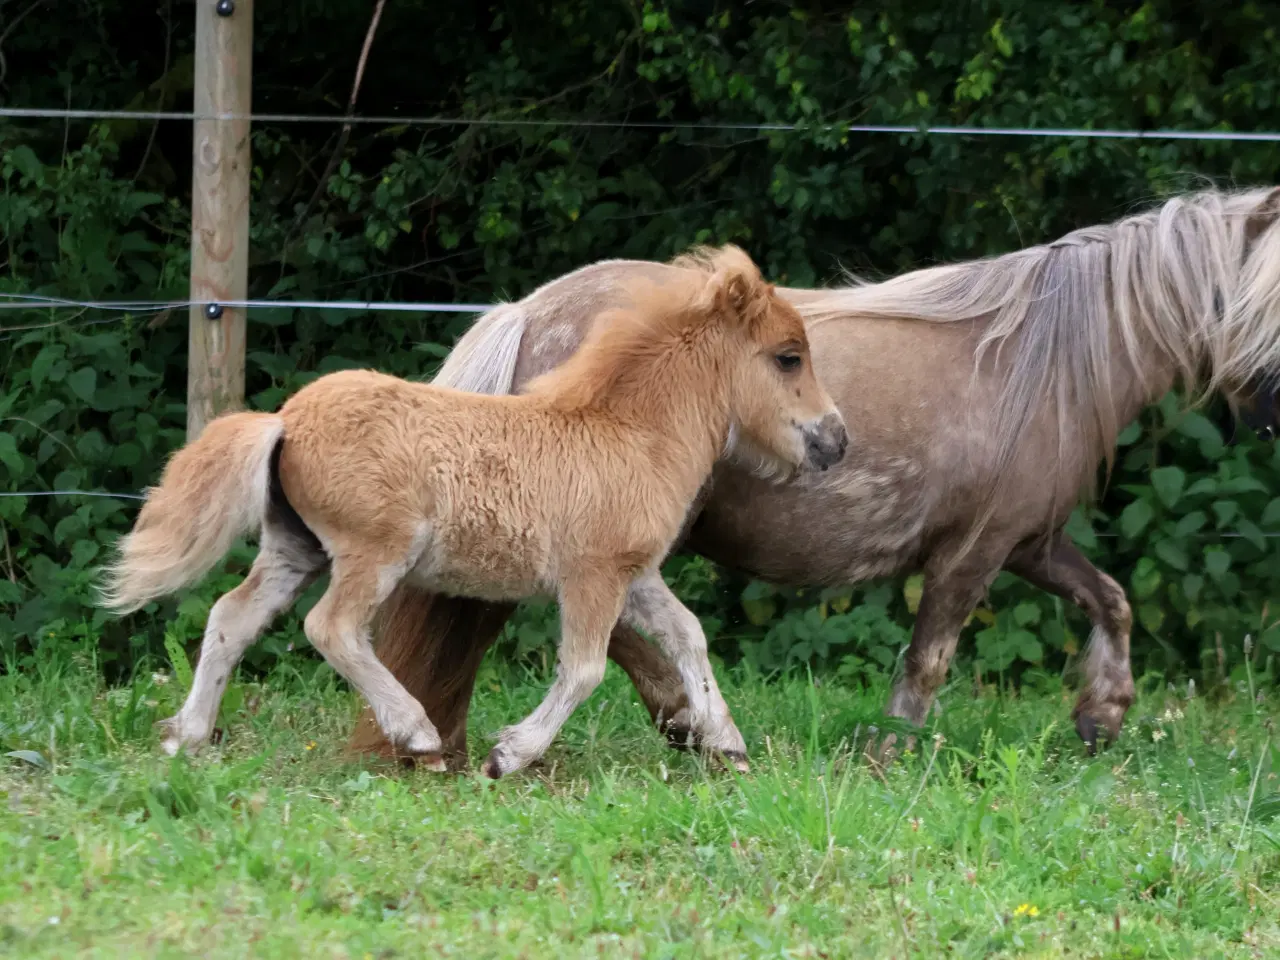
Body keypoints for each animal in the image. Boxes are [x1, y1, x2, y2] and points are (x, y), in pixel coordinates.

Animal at [102, 248, 849, 783]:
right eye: (788, 358)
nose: (836, 439)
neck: (631, 433)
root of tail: (284, 421)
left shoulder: (634, 575)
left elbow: (689, 636)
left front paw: (728, 744)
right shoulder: (593, 577)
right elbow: (584, 669)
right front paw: (508, 755)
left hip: (294, 547)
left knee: (231, 617)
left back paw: (187, 737)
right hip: (374, 550)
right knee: (330, 628)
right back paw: (418, 736)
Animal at [353, 184, 1280, 773]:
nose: (1273, 415)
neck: (1051, 357)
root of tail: (530, 309)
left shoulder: (1030, 541)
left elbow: (1112, 600)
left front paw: (1101, 715)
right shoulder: (973, 554)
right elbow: (928, 661)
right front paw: (891, 755)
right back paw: (681, 720)